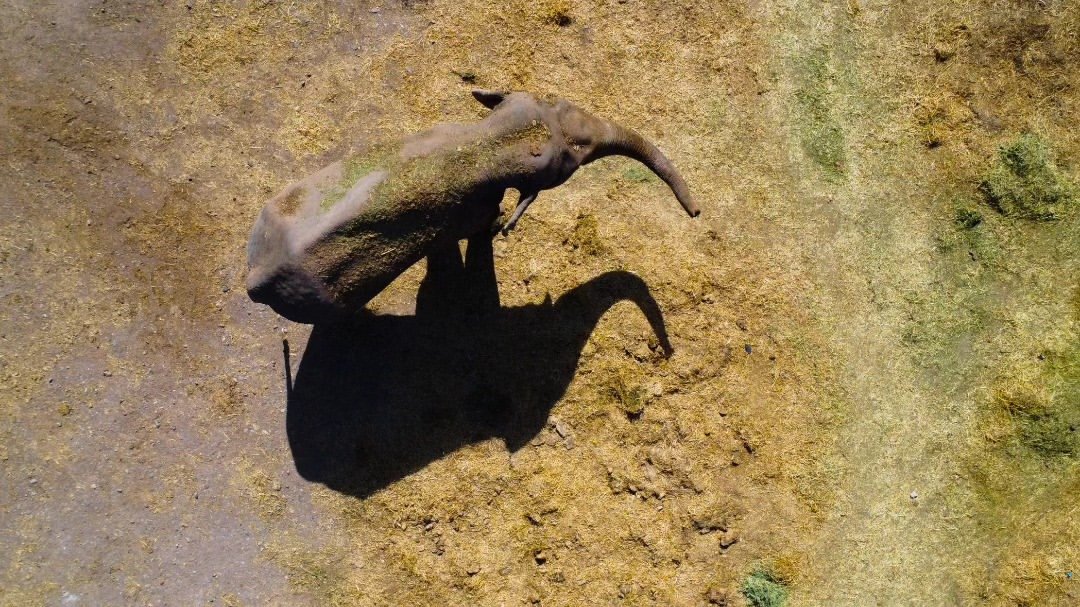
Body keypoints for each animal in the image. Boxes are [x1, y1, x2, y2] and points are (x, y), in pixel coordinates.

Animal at [245, 89, 700, 324]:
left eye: (554, 101)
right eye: (573, 159)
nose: (696, 213)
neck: (489, 143)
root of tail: (253, 280)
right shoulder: (469, 207)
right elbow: (477, 233)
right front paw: (499, 229)